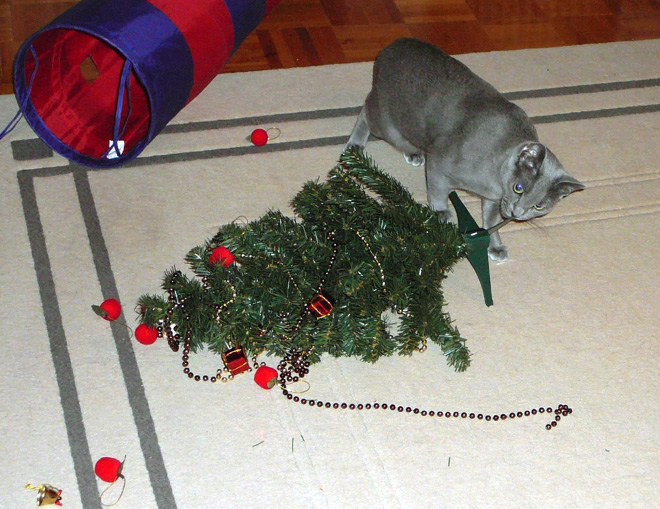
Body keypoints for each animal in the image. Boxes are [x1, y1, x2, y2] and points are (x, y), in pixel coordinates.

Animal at [346, 37, 584, 260]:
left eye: (539, 206)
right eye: (519, 188)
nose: (517, 212)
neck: (496, 183)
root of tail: (393, 45)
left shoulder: (494, 200)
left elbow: (490, 220)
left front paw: (495, 246)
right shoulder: (439, 164)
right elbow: (437, 191)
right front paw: (441, 213)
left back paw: (413, 152)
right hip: (386, 122)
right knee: (366, 110)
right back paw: (354, 146)